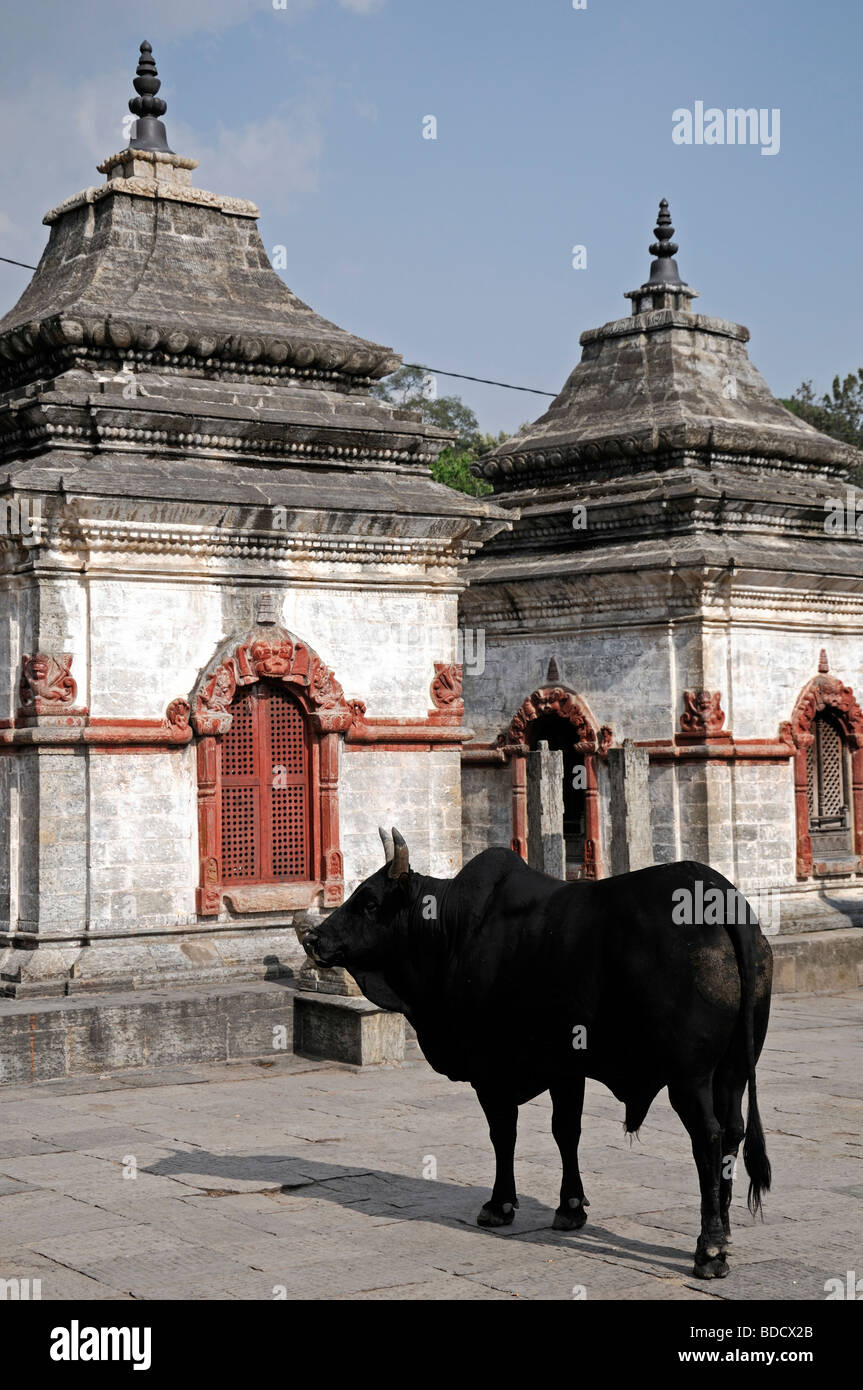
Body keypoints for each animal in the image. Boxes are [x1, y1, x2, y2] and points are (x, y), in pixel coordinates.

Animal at [300, 828, 772, 1273]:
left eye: (369, 903)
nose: (313, 938)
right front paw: (570, 1208)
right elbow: (566, 1131)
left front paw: (499, 1204)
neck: (450, 931)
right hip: (732, 1069)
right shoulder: (567, 1066)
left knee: (708, 1138)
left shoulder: (491, 1070)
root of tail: (721, 896)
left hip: (689, 1077)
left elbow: (503, 1134)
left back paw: (709, 1248)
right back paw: (725, 1229)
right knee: (733, 1131)